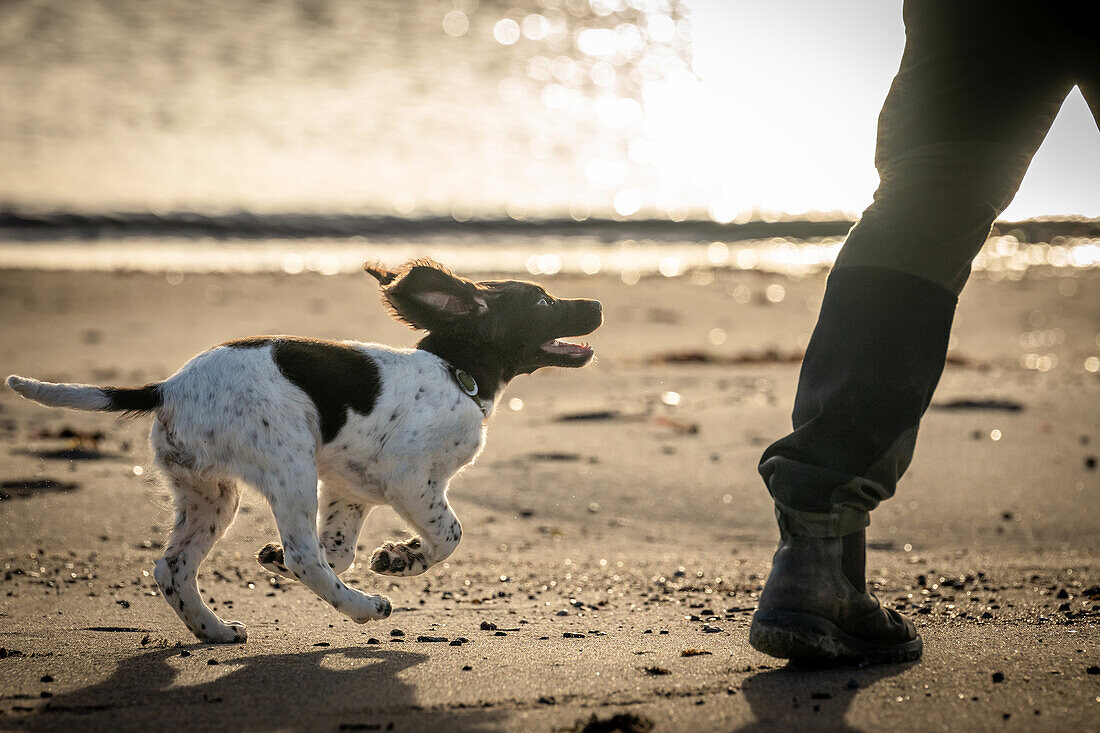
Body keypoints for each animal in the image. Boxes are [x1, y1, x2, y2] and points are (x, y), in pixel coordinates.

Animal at [4, 259, 602, 642]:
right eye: (544, 301)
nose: (596, 302)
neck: (459, 375)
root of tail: (167, 387)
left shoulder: (349, 489)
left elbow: (341, 549)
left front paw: (389, 555)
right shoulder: (409, 479)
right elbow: (449, 533)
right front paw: (404, 558)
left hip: (210, 493)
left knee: (173, 568)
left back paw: (214, 630)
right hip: (288, 464)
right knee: (303, 556)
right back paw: (363, 607)